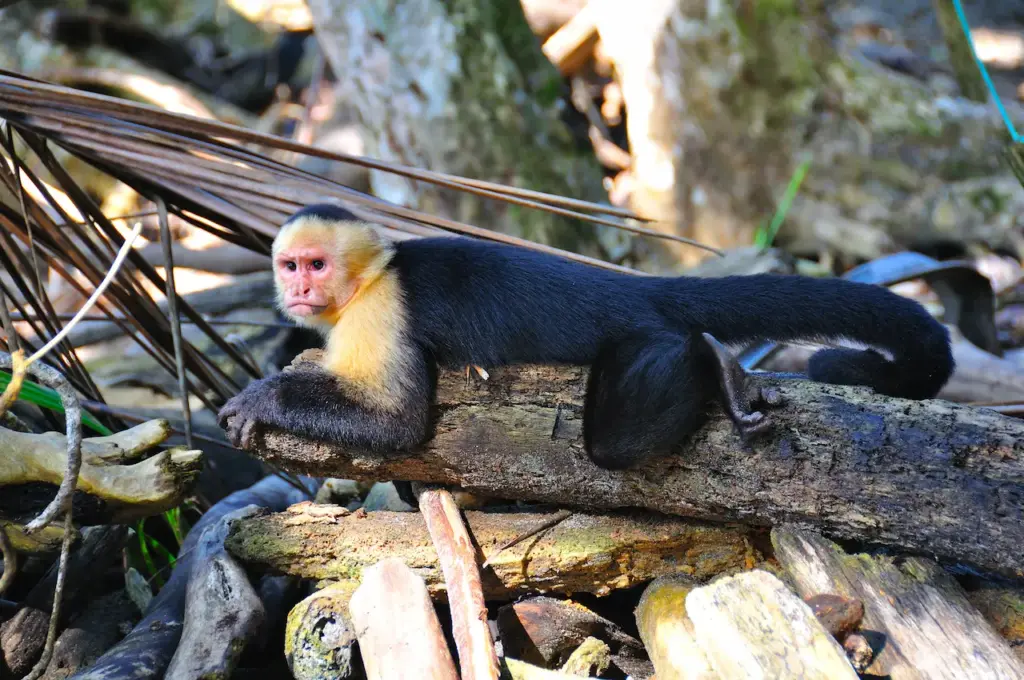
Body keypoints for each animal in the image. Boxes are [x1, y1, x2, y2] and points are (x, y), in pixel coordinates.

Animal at [220, 201, 954, 466]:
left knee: (615, 439)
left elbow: (396, 424)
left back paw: (714, 364)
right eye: (289, 265)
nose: (298, 288)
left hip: (642, 336)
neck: (370, 281)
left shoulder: (384, 310)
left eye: (316, 265)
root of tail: (638, 286)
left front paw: (263, 397)